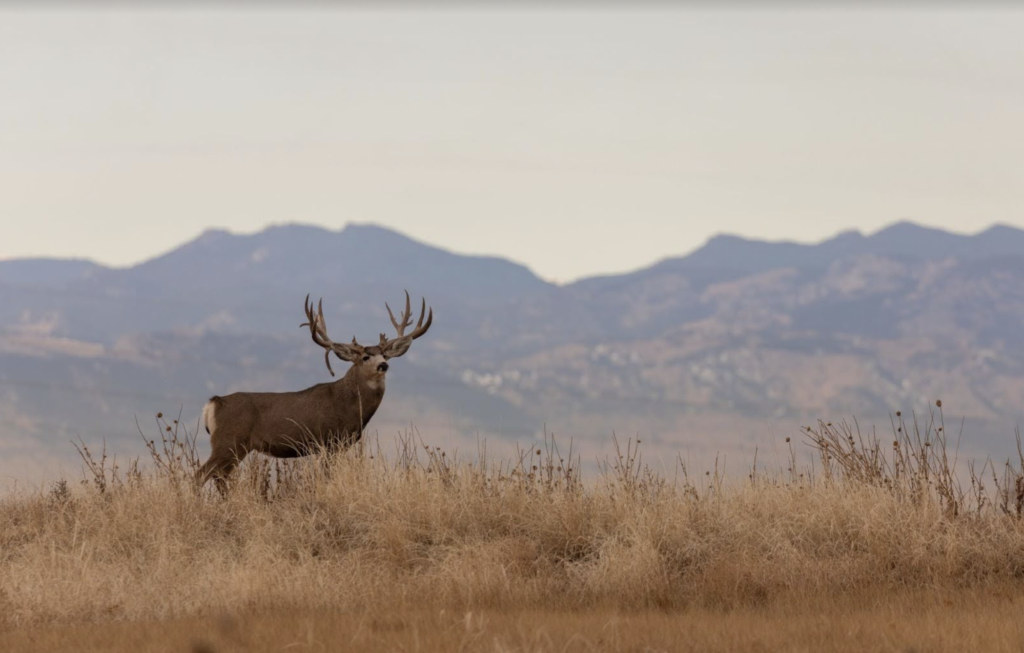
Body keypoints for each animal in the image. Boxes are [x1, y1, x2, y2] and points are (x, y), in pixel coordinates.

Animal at [194, 288, 432, 493]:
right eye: (366, 357)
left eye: (385, 355)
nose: (383, 365)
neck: (347, 406)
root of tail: (213, 403)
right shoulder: (327, 441)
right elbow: (327, 478)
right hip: (228, 441)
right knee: (201, 474)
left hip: (234, 447)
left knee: (219, 476)